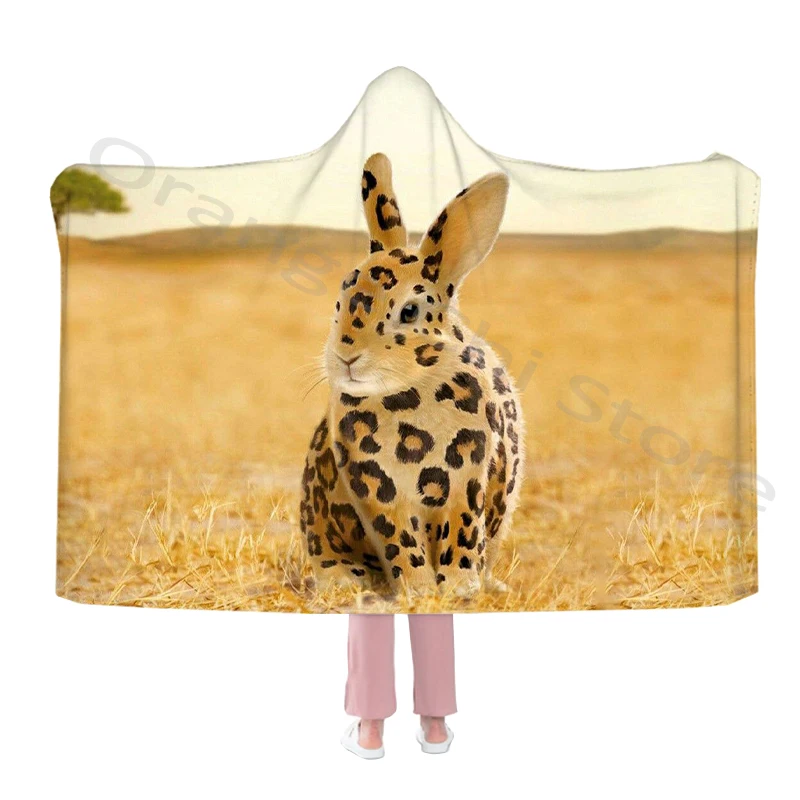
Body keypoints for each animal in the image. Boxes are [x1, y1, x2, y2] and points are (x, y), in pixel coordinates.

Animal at [299, 153, 524, 599]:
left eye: (409, 312)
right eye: (340, 300)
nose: (345, 356)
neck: (407, 396)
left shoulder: (466, 484)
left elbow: (461, 535)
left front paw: (457, 588)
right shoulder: (379, 493)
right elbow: (399, 541)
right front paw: (418, 591)